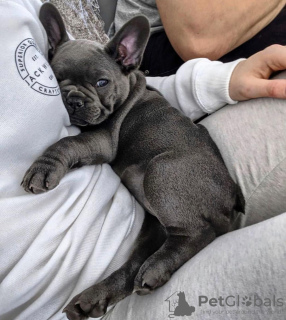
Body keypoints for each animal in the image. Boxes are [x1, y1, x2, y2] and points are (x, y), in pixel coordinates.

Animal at [21, 3, 244, 320]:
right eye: (55, 76)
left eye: (101, 82)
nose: (73, 100)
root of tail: (233, 191)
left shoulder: (103, 140)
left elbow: (66, 143)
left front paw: (44, 168)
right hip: (152, 224)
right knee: (135, 263)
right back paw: (94, 298)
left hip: (161, 172)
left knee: (201, 232)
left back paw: (156, 268)